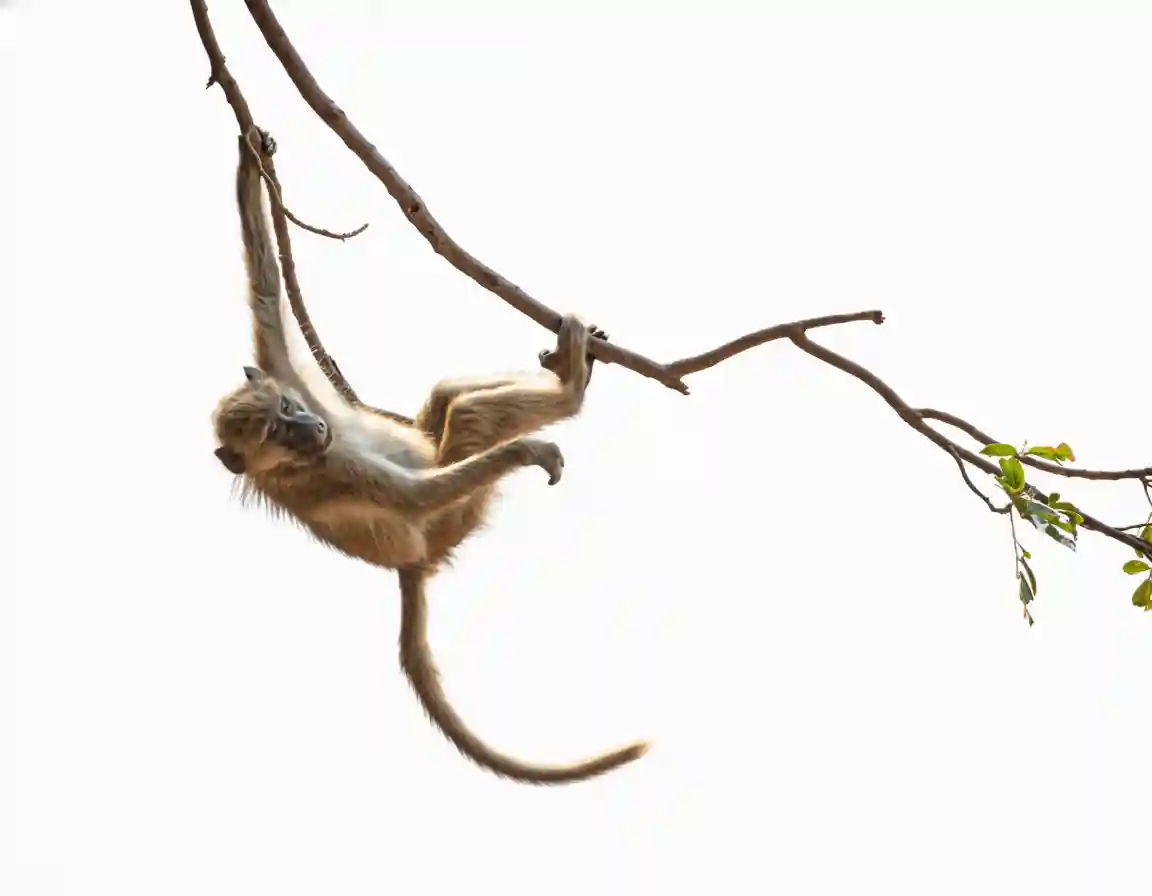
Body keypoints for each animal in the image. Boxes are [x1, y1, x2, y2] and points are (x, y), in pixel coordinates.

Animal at [211, 128, 648, 785]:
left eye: (287, 412)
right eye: (278, 437)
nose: (310, 426)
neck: (297, 462)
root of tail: (414, 564)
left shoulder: (283, 375)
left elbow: (264, 292)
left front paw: (250, 157)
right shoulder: (331, 470)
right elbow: (414, 495)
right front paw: (529, 446)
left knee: (446, 402)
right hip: (455, 521)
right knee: (462, 423)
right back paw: (569, 387)